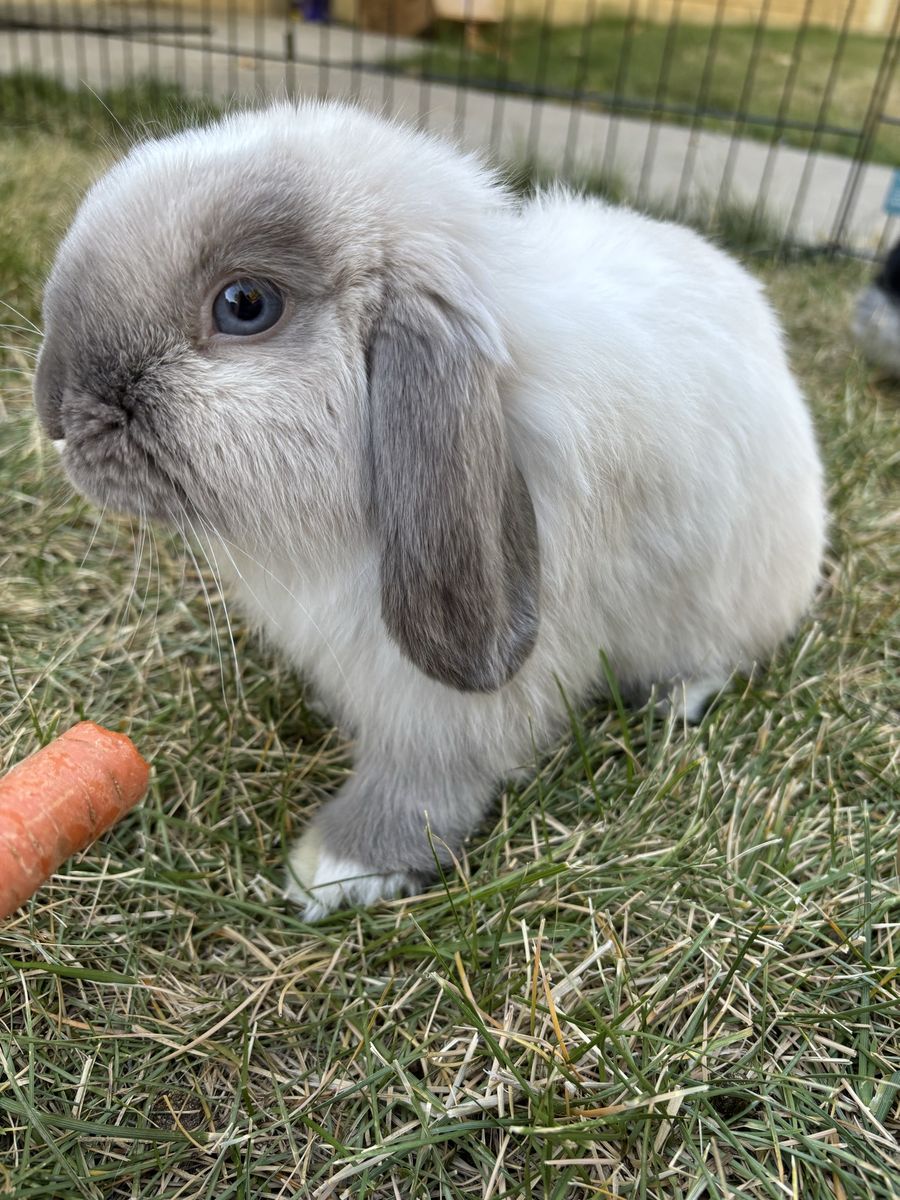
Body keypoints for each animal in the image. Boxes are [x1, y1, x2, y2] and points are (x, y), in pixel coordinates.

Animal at [33, 101, 826, 920]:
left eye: (245, 305)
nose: (55, 413)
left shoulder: (447, 709)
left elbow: (425, 782)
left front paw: (335, 869)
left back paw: (674, 699)